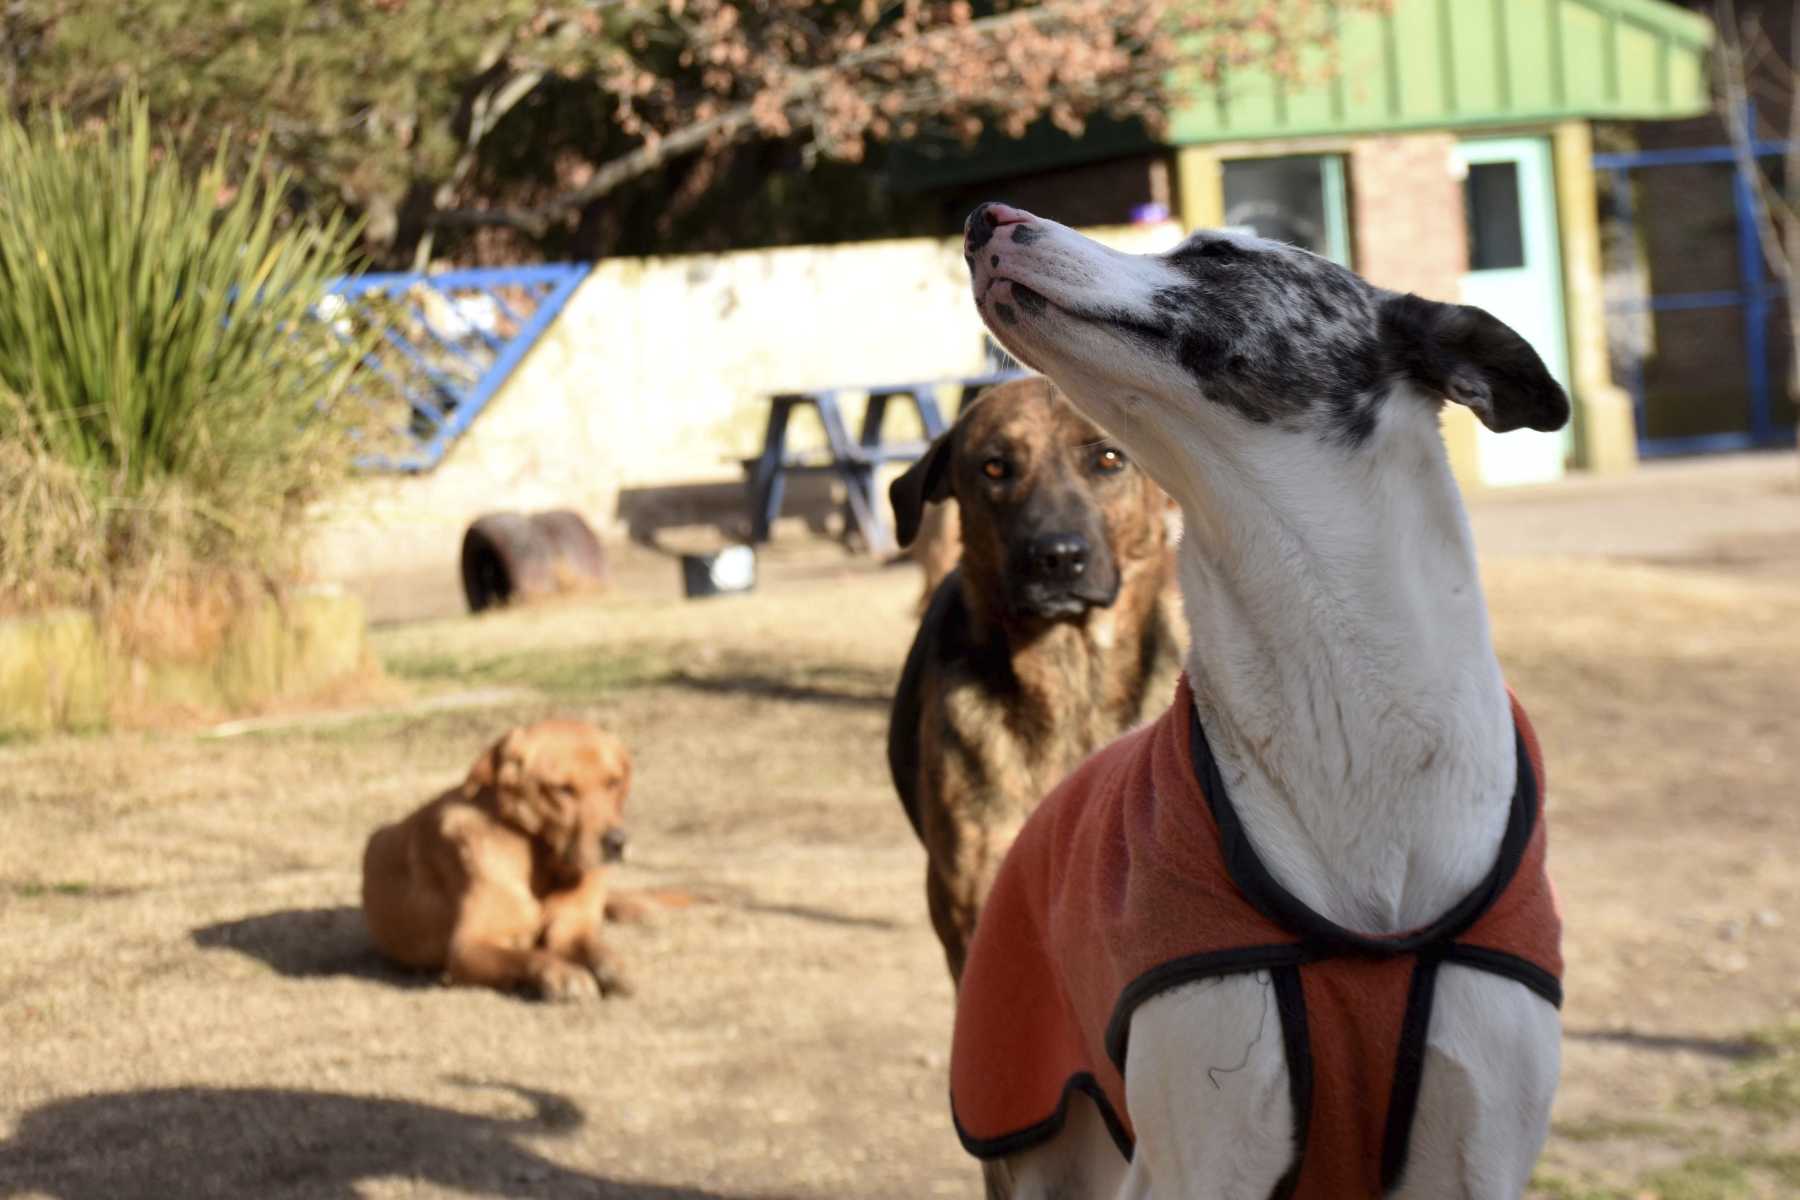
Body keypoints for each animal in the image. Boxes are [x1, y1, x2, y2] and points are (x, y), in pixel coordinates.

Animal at [361, 719, 637, 1000]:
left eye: (613, 782)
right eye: (562, 789)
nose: (617, 843)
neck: (542, 864)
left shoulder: (570, 928)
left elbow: (597, 948)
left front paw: (616, 967)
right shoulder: (468, 948)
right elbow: (527, 956)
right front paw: (564, 974)